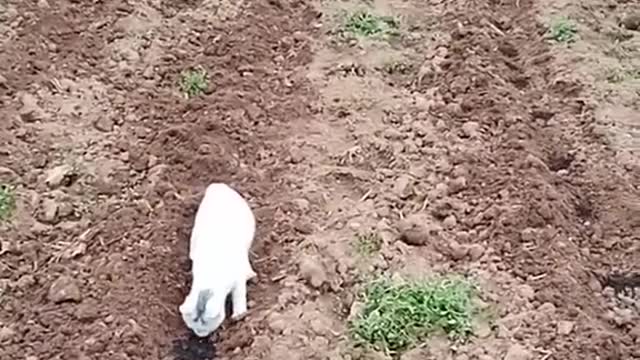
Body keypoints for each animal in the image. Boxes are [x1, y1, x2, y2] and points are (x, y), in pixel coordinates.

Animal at [178, 183, 258, 338]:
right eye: (192, 325)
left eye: (207, 325)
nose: (200, 335)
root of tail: (217, 186)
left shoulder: (238, 278)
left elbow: (239, 294)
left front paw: (239, 315)